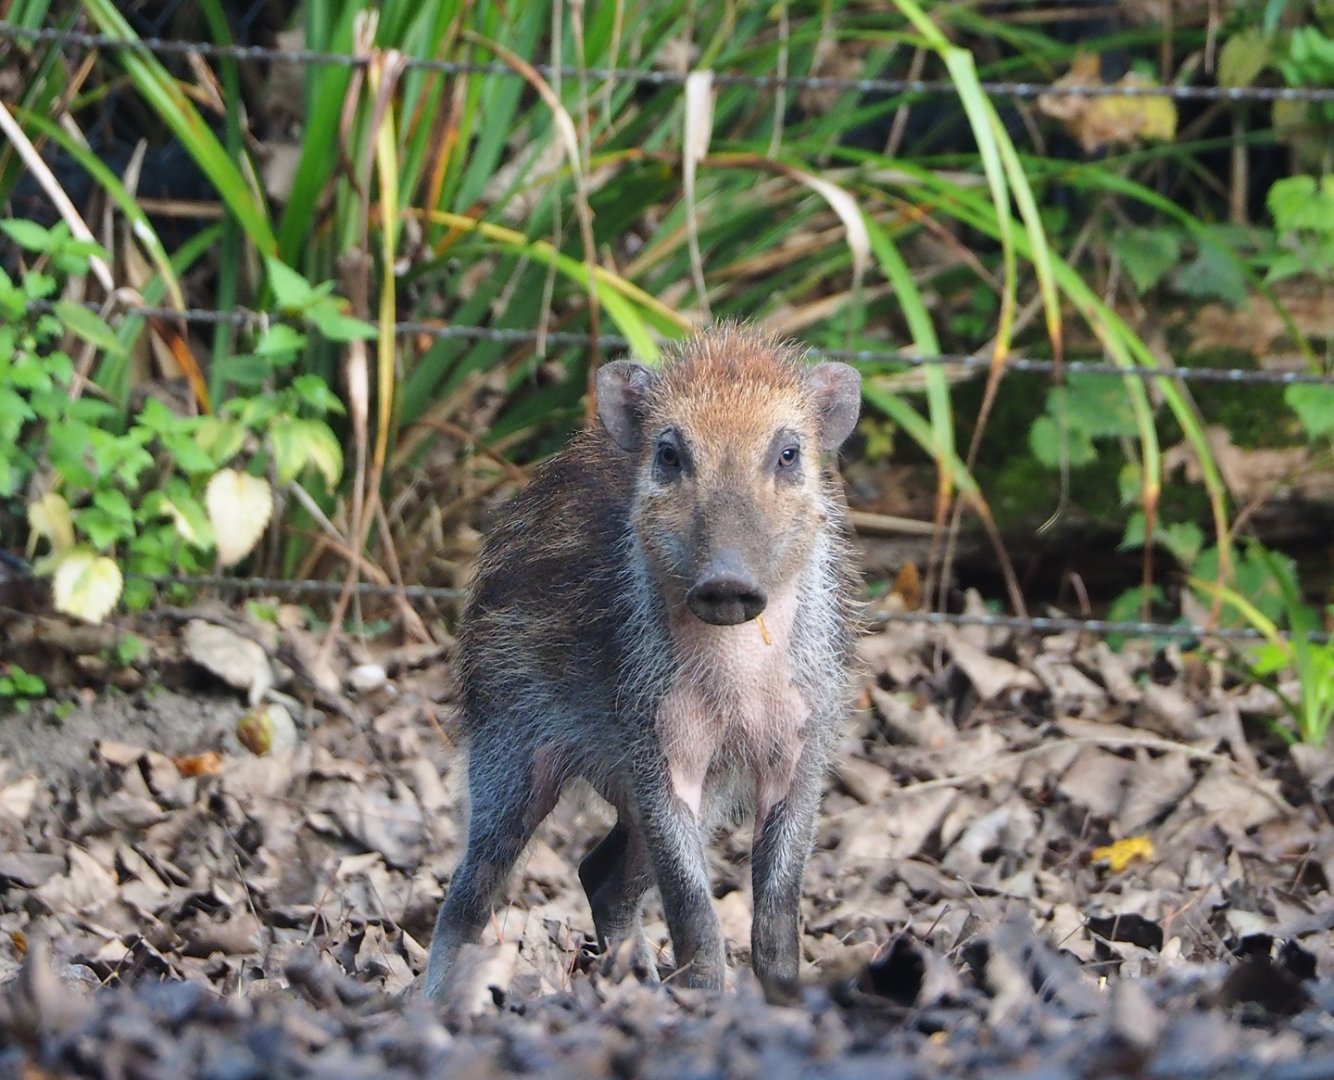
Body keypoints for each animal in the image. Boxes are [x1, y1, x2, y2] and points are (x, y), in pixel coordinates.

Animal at [424, 324, 862, 999]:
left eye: (788, 453)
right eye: (670, 454)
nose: (726, 582)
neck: (737, 683)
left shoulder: (803, 744)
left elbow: (779, 903)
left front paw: (780, 996)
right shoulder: (656, 742)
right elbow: (691, 902)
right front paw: (706, 996)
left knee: (598, 873)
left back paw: (635, 979)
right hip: (508, 746)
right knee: (469, 891)